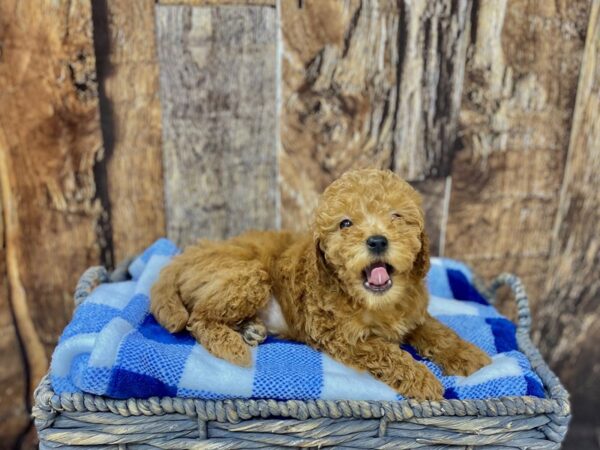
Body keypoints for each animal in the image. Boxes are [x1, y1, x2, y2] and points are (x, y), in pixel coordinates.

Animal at [149, 170, 488, 400]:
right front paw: (421, 379)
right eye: (345, 223)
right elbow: (386, 351)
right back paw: (232, 345)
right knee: (198, 318)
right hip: (249, 275)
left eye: (397, 216)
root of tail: (189, 254)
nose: (377, 240)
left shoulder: (413, 314)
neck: (375, 300)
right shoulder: (341, 335)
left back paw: (250, 329)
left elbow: (438, 332)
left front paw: (470, 357)